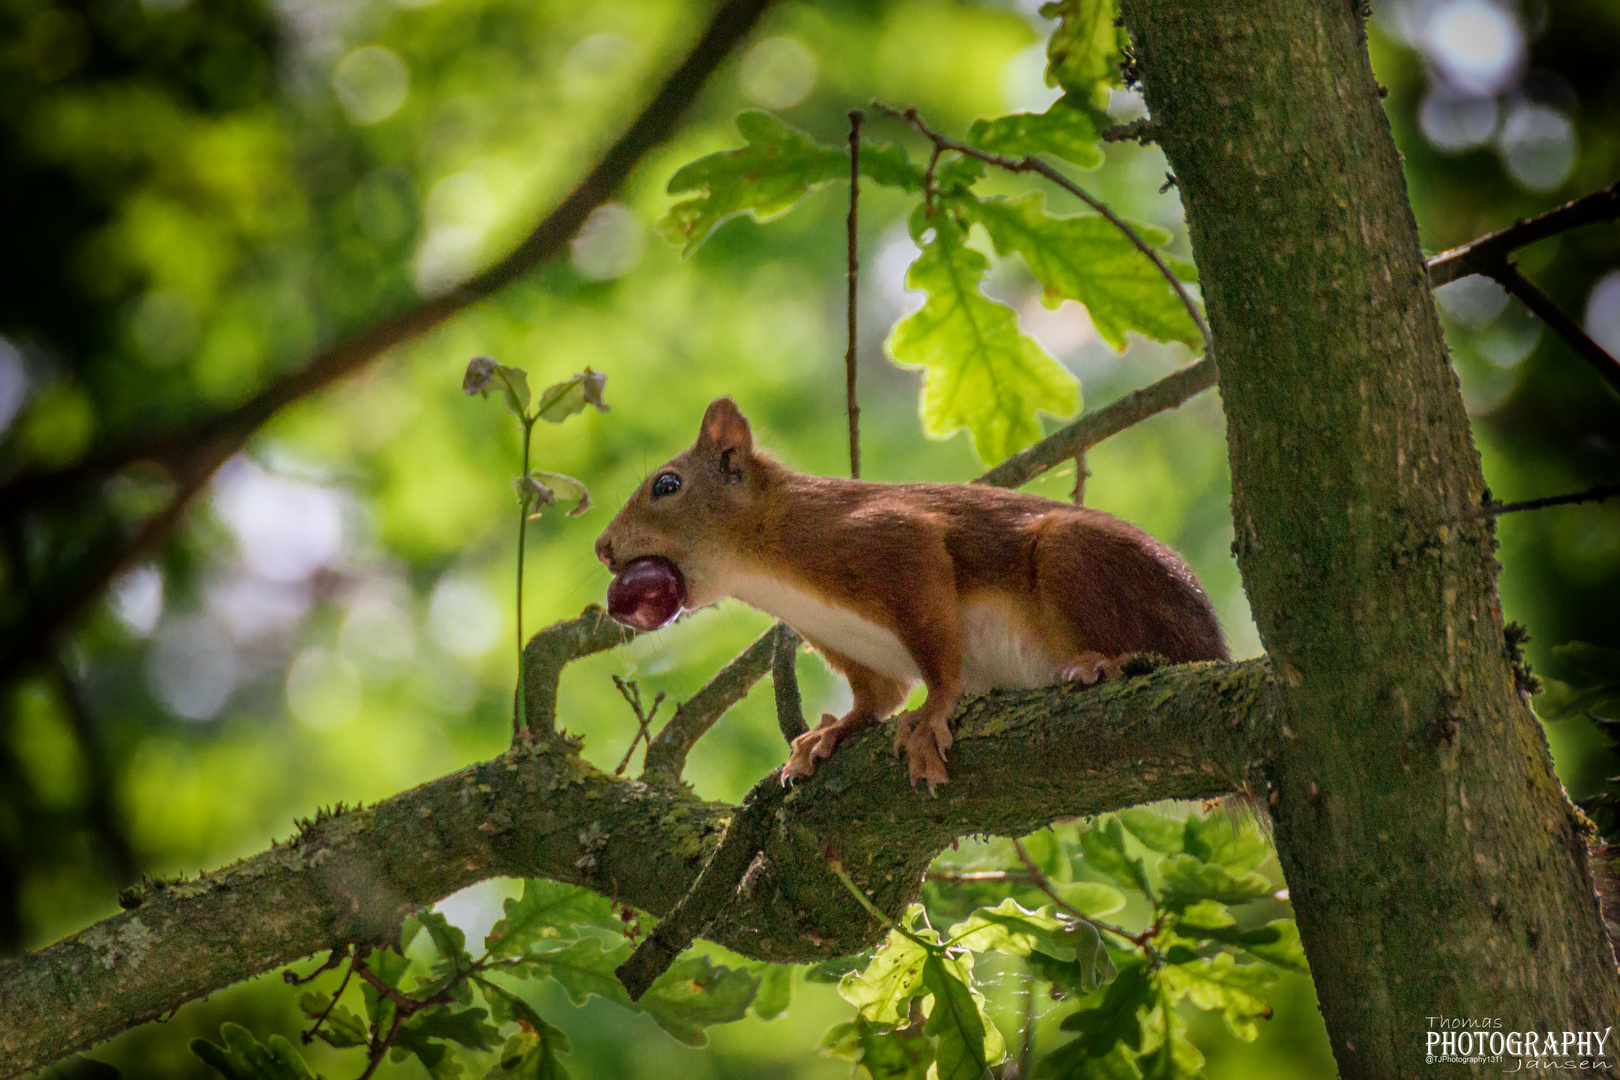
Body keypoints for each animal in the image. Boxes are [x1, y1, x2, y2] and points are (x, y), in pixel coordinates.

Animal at [596, 401, 1224, 790]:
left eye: (667, 484)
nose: (602, 549)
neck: (769, 573)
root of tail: (1212, 644)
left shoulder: (896, 543)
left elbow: (937, 657)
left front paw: (934, 711)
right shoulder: (840, 639)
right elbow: (877, 696)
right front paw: (830, 732)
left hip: (1075, 557)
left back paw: (1099, 663)